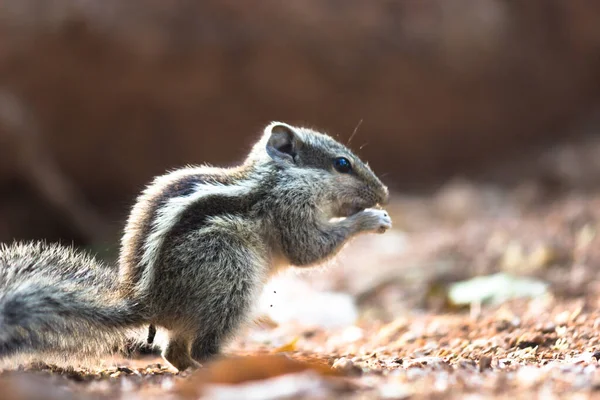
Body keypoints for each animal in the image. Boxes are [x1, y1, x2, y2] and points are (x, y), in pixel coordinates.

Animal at [0, 122, 392, 372]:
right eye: (342, 164)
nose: (384, 193)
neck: (277, 177)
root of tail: (148, 301)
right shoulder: (290, 208)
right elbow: (308, 249)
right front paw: (372, 219)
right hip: (231, 279)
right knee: (204, 347)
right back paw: (233, 364)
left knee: (172, 351)